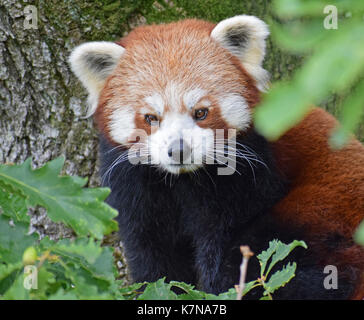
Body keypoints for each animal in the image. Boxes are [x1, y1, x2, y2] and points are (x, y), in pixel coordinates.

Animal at [69, 15, 364, 300]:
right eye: (151, 118)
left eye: (200, 112)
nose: (178, 150)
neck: (183, 181)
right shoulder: (133, 185)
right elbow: (151, 252)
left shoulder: (245, 175)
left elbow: (224, 249)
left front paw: (219, 289)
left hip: (321, 206)